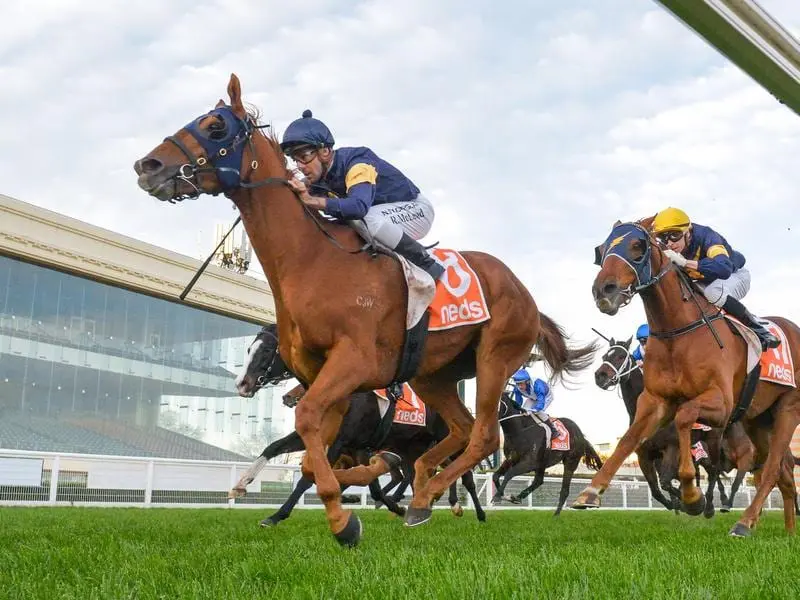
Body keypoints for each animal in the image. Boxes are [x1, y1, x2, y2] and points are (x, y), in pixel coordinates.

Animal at [228, 324, 484, 524]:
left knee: (465, 475)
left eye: (267, 350)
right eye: (249, 349)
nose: (242, 383)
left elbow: (309, 476)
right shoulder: (343, 442)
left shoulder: (340, 442)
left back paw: (473, 512)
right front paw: (241, 483)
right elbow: (274, 447)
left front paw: (276, 515)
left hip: (444, 438)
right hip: (410, 448)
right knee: (414, 476)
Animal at [576, 218, 800, 536]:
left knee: (769, 471)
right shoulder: (655, 402)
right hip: (758, 419)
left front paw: (692, 498)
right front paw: (591, 491)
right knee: (784, 475)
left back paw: (743, 522)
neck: (678, 332)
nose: (604, 290)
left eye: (637, 245)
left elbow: (684, 418)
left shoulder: (721, 404)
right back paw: (788, 531)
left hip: (788, 409)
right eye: (602, 249)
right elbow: (628, 440)